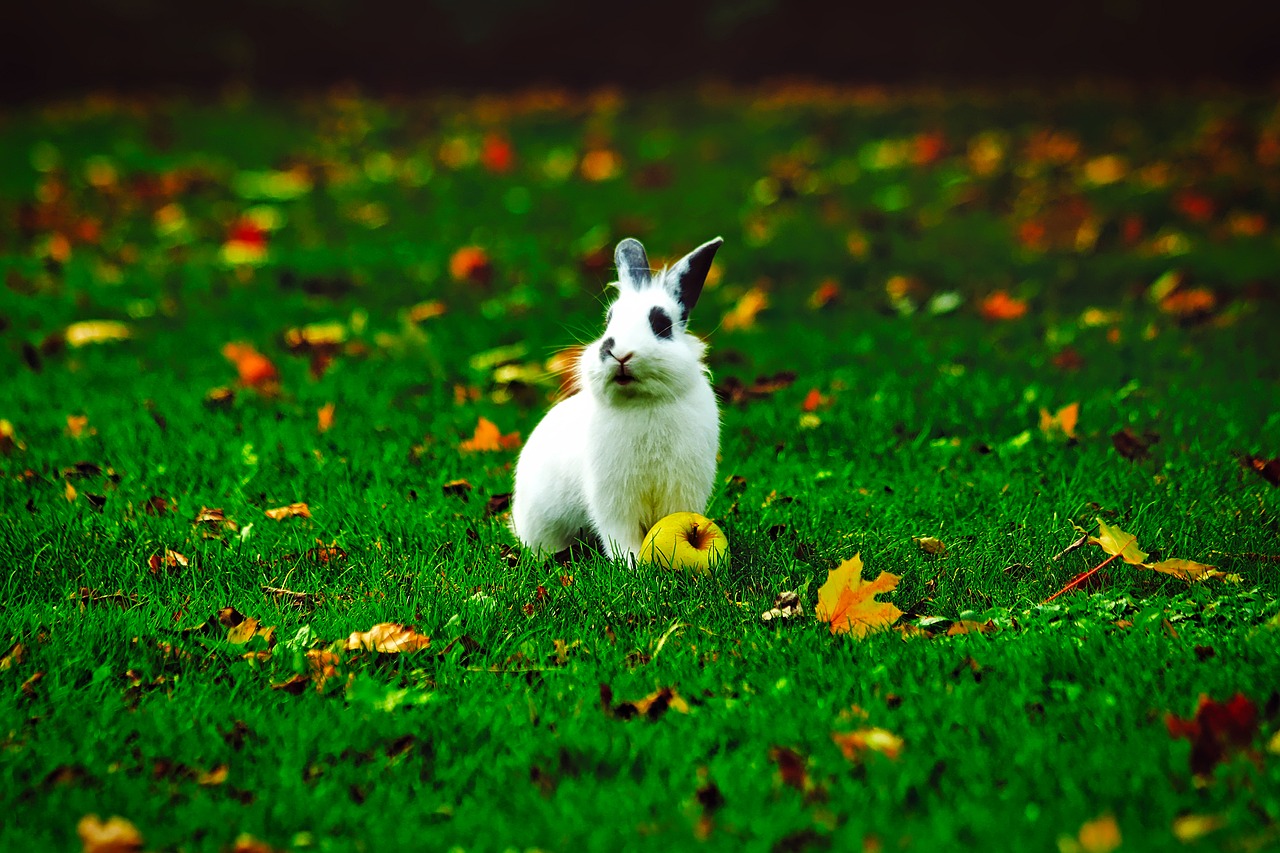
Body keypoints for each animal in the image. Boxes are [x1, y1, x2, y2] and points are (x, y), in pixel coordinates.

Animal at [511, 236, 723, 562]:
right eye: (608, 322)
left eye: (662, 324)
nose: (618, 353)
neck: (644, 402)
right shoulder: (613, 498)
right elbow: (619, 533)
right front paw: (632, 563)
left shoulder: (681, 490)